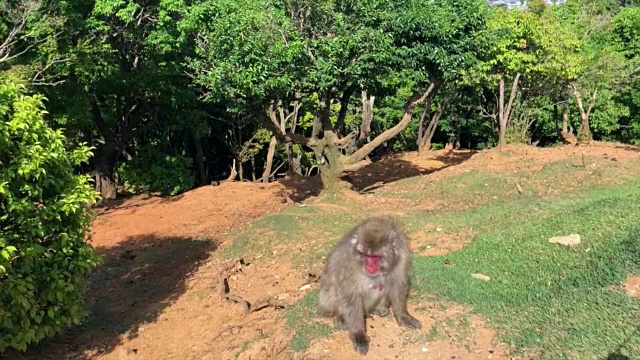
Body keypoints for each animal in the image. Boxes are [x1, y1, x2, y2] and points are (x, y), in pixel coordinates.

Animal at [318, 217, 422, 354]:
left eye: (375, 256)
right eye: (366, 255)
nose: (369, 267)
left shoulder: (402, 256)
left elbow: (398, 284)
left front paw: (403, 316)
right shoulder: (351, 264)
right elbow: (351, 295)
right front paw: (359, 335)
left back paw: (379, 308)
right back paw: (340, 316)